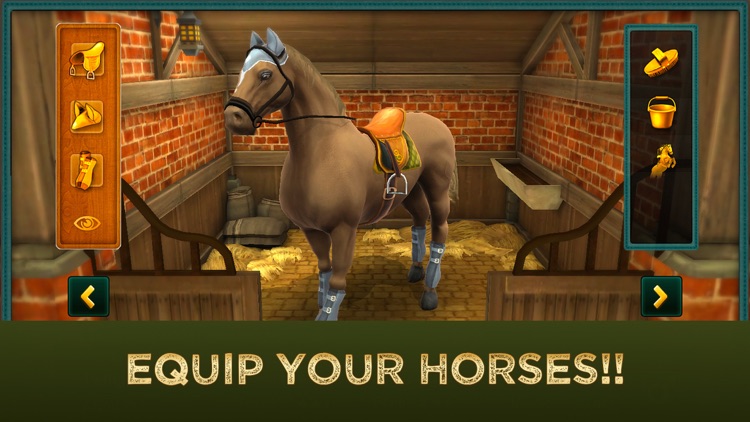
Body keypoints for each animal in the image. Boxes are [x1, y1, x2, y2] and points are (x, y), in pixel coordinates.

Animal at [223, 28, 458, 321]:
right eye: (241, 72)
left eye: (265, 74)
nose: (233, 117)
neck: (321, 153)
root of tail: (438, 123)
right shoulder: (312, 230)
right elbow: (324, 271)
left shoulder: (344, 229)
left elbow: (337, 278)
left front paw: (327, 314)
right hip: (410, 191)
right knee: (418, 222)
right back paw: (415, 271)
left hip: (437, 186)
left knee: (439, 229)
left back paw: (429, 292)